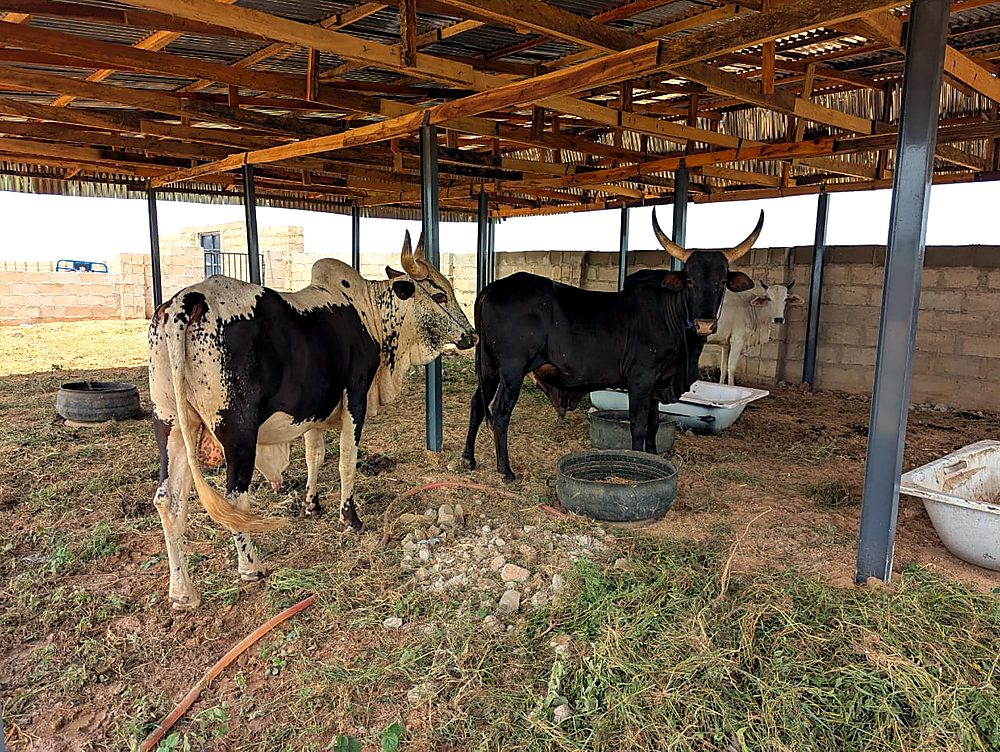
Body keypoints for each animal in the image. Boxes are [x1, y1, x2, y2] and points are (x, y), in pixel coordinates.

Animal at [148, 231, 475, 610]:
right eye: (439, 294)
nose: (471, 335)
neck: (369, 313)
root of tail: (187, 301)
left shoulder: (313, 411)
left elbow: (313, 458)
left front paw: (311, 506)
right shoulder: (355, 397)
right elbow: (347, 461)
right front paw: (349, 517)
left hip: (172, 424)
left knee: (168, 501)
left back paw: (182, 591)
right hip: (238, 433)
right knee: (234, 498)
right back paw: (251, 567)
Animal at [461, 210, 763, 482]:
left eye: (722, 282)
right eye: (689, 280)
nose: (704, 324)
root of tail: (492, 288)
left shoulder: (656, 385)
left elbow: (654, 425)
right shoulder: (640, 380)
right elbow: (639, 427)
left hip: (488, 365)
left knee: (477, 403)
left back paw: (468, 458)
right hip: (512, 369)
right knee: (500, 413)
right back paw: (505, 471)